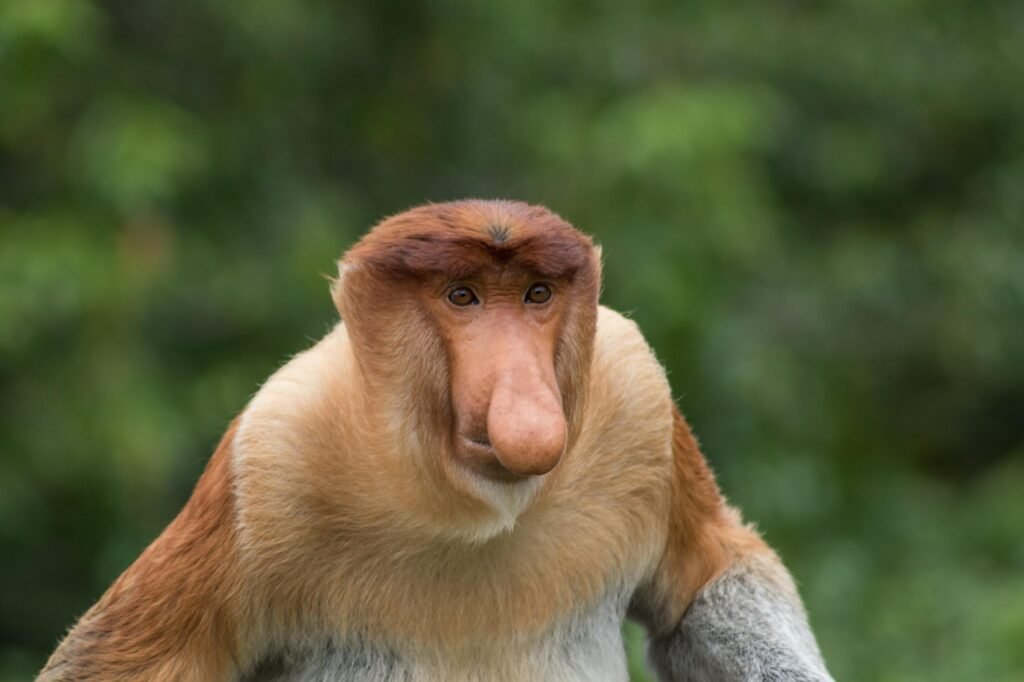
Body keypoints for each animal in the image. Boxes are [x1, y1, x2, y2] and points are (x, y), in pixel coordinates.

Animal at [39, 200, 833, 681]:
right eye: (462, 297)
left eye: (537, 295)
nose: (526, 402)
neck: (471, 510)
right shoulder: (270, 453)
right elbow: (125, 658)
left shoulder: (635, 397)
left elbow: (710, 577)